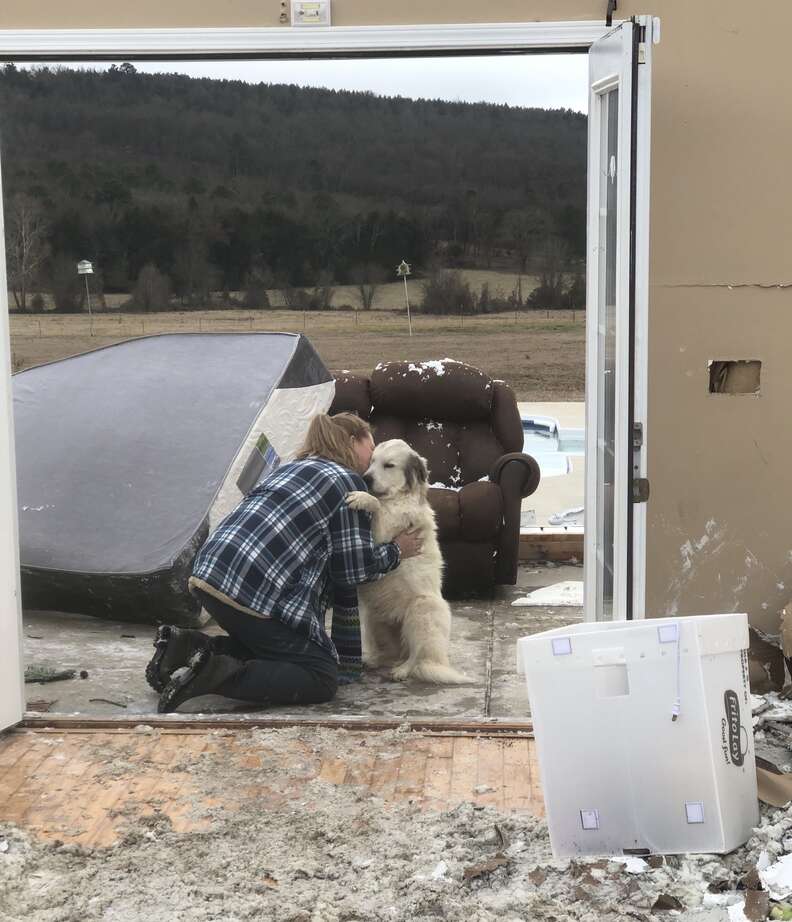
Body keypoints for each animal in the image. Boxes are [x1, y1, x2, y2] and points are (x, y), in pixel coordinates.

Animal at [346, 438, 470, 684]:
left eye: (389, 465)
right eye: (372, 461)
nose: (366, 478)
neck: (397, 497)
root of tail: (438, 661)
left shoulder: (385, 531)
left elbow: (378, 507)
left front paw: (364, 498)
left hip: (420, 609)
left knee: (416, 656)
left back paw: (402, 670)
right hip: (372, 617)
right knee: (390, 653)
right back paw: (373, 660)